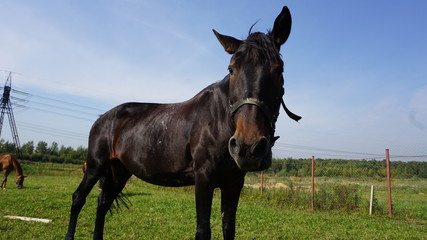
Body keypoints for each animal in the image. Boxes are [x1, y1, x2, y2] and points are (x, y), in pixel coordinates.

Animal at [66, 6, 300, 240]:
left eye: (279, 69)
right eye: (231, 69)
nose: (248, 147)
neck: (218, 122)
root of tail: (102, 118)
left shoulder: (234, 182)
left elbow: (228, 228)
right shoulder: (204, 179)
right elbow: (203, 230)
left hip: (119, 171)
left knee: (103, 203)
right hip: (95, 166)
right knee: (78, 198)